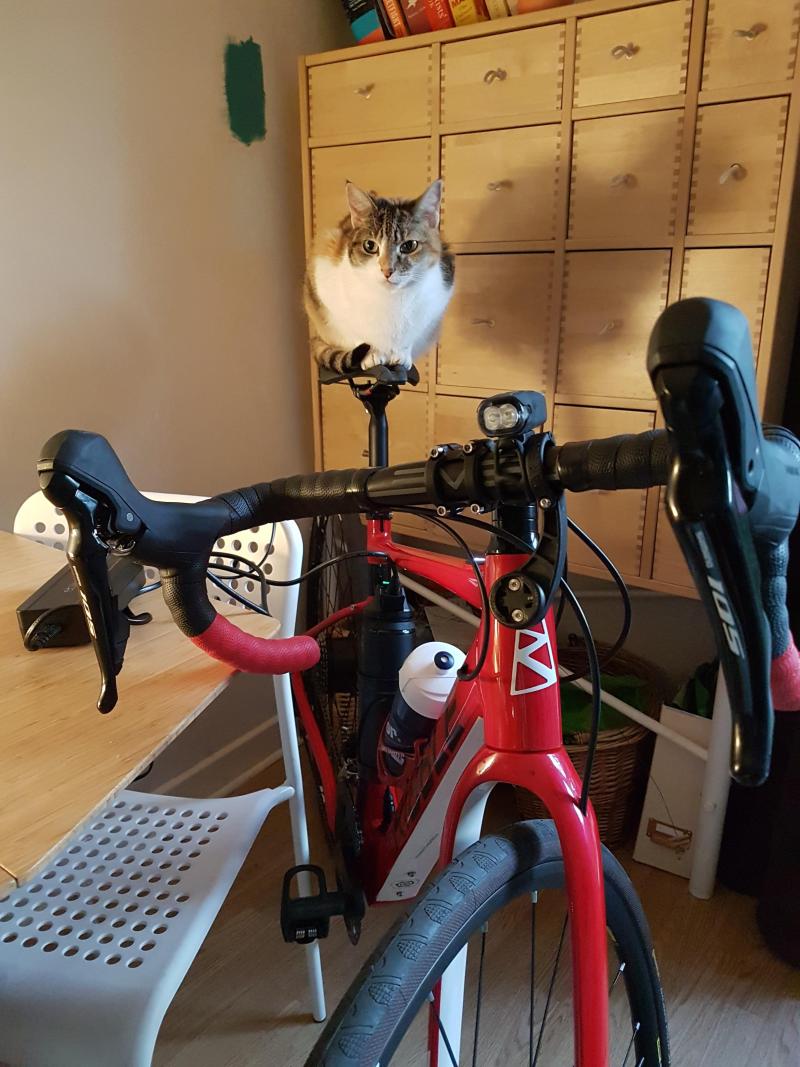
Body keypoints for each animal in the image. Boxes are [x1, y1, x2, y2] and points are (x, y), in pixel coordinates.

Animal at [302, 183, 454, 379]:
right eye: (370, 245)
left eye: (409, 246)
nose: (387, 270)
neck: (390, 299)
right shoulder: (326, 286)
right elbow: (355, 331)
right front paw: (372, 354)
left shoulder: (436, 302)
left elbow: (410, 334)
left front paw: (402, 354)